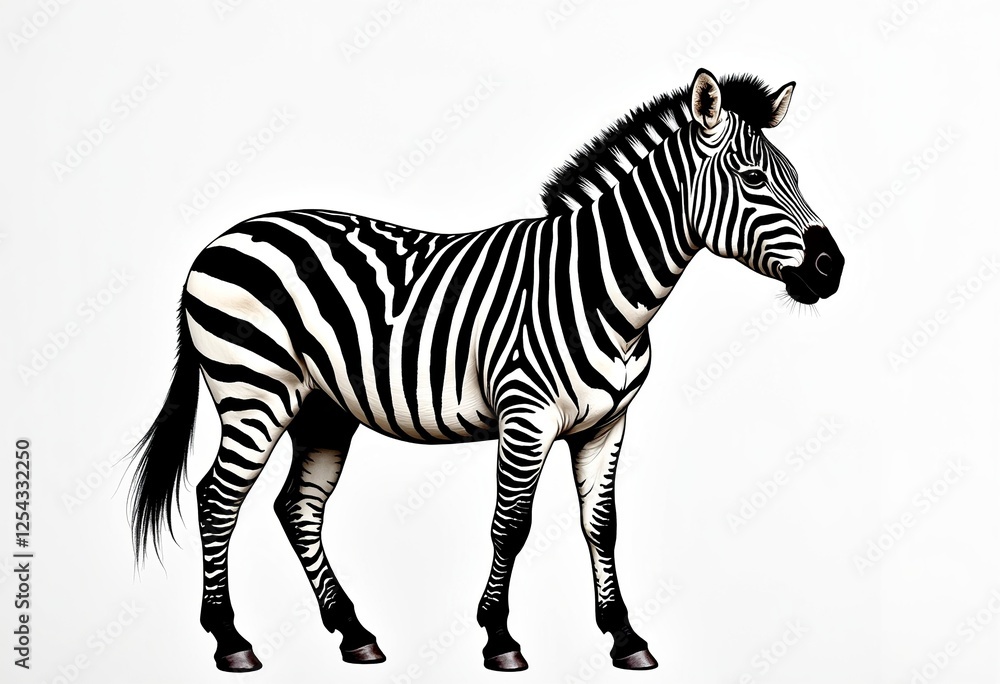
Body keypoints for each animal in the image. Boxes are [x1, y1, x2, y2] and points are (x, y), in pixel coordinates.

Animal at [129, 68, 844, 673]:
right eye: (753, 179)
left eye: (795, 175)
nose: (831, 268)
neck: (598, 286)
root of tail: (218, 241)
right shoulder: (525, 415)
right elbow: (512, 526)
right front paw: (499, 638)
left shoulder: (606, 424)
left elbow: (603, 525)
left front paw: (624, 637)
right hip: (255, 390)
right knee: (216, 499)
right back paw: (230, 640)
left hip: (321, 407)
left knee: (296, 505)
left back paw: (354, 634)